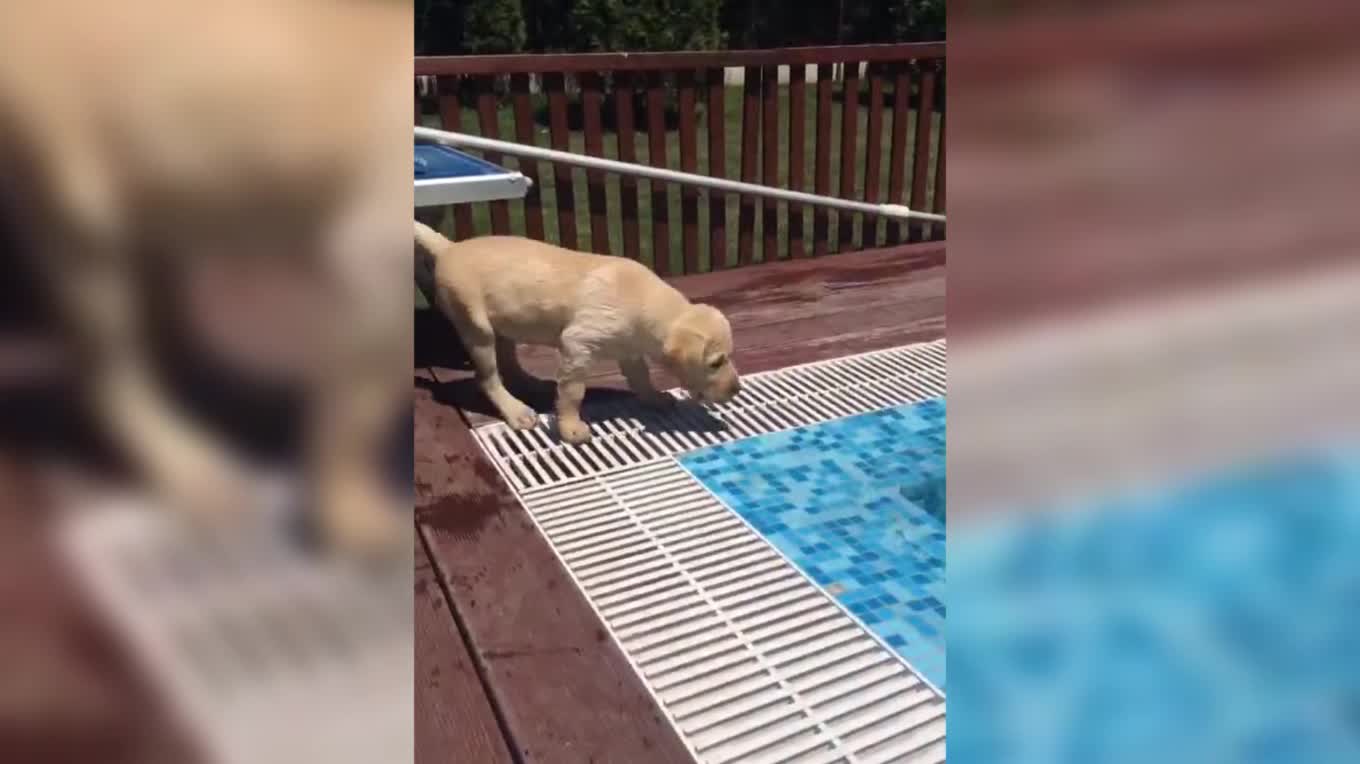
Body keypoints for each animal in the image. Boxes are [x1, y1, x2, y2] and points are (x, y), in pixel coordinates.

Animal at [413, 222, 745, 443]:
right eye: (716, 362)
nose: (736, 390)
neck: (645, 303)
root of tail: (449, 247)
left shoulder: (630, 351)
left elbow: (641, 378)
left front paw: (654, 398)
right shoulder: (577, 345)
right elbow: (573, 392)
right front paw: (571, 428)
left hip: (503, 323)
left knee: (508, 362)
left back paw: (531, 383)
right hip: (476, 326)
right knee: (488, 377)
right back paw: (516, 410)